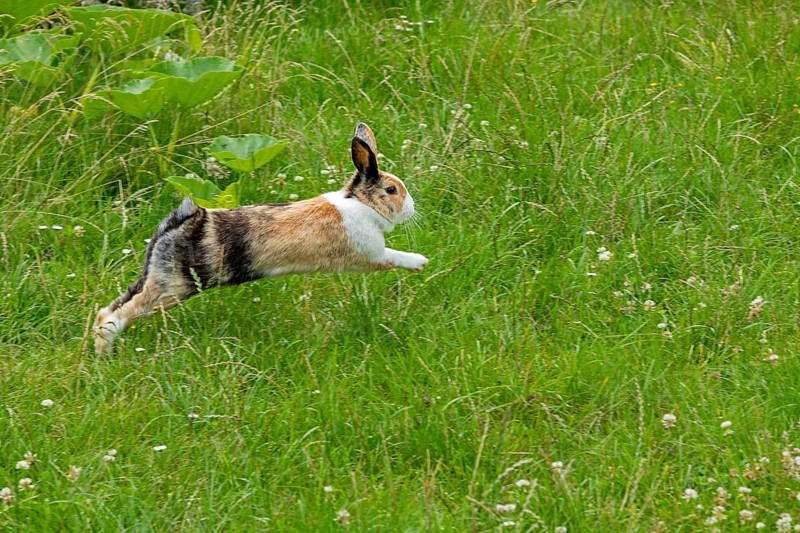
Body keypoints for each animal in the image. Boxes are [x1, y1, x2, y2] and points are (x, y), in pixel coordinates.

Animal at [93, 123, 428, 354]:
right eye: (391, 190)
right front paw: (420, 262)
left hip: (155, 277)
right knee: (118, 315)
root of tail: (185, 220)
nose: (412, 208)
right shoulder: (371, 255)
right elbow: (393, 257)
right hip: (173, 287)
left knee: (108, 309)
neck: (361, 203)